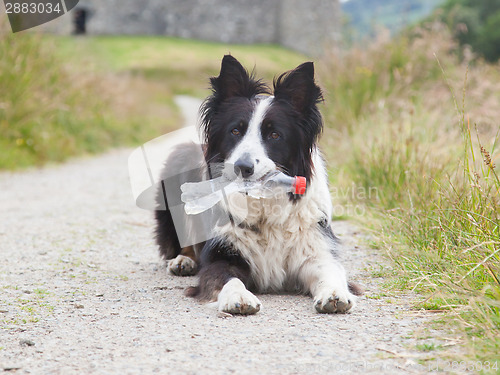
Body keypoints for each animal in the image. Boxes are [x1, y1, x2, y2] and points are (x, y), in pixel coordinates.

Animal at [154, 55, 362, 314]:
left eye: (275, 135)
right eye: (235, 131)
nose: (242, 167)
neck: (263, 208)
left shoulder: (315, 252)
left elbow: (331, 272)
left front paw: (335, 293)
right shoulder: (221, 255)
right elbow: (226, 278)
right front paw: (239, 296)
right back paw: (183, 260)